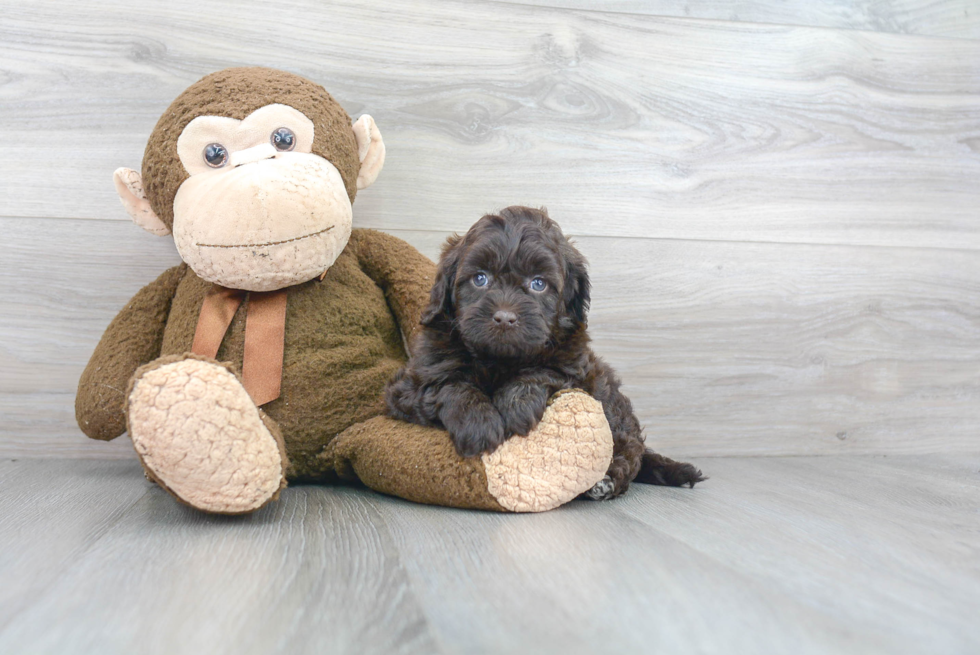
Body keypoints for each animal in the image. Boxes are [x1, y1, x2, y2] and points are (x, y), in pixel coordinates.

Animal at [388, 208, 704, 500]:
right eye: (480, 279)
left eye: (538, 283)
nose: (504, 318)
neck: (498, 360)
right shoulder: (409, 386)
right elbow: (447, 384)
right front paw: (479, 424)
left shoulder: (576, 370)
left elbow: (544, 372)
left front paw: (516, 406)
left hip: (613, 408)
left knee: (630, 453)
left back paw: (606, 482)